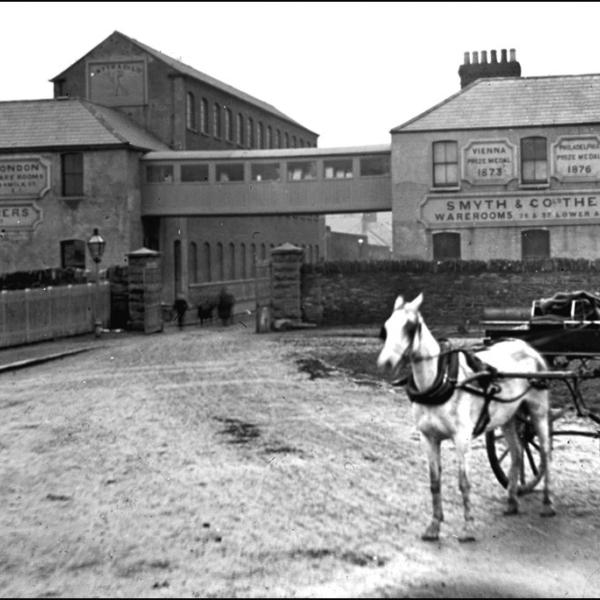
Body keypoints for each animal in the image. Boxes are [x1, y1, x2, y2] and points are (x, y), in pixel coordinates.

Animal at [378, 292, 556, 540]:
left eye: (410, 327)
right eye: (386, 327)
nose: (385, 363)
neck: (441, 379)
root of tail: (526, 346)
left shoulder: (462, 438)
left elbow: (464, 483)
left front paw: (468, 527)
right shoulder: (428, 438)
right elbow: (434, 482)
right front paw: (434, 525)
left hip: (538, 411)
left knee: (545, 454)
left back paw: (548, 503)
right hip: (508, 418)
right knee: (517, 453)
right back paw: (512, 501)